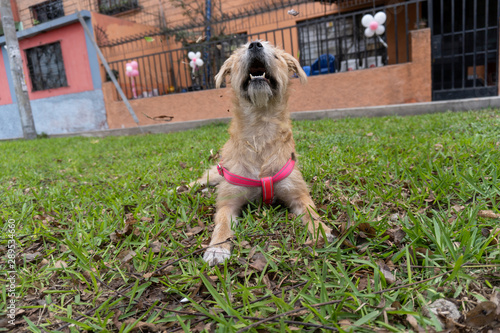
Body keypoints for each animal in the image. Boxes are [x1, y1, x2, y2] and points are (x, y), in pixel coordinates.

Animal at [193, 40, 334, 264]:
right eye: (241, 54)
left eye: (276, 56)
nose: (255, 45)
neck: (260, 130)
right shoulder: (228, 202)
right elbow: (222, 223)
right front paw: (217, 248)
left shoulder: (297, 194)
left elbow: (311, 212)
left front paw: (320, 230)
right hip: (212, 175)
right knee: (196, 182)